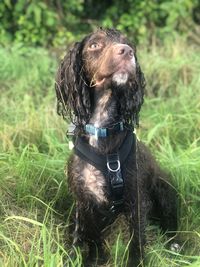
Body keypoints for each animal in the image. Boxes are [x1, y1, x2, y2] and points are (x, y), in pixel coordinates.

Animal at [54, 28, 177, 266]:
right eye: (94, 45)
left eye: (129, 43)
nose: (127, 51)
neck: (102, 127)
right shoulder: (85, 201)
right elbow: (93, 237)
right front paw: (95, 258)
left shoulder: (136, 198)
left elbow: (136, 239)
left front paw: (136, 262)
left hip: (164, 187)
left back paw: (176, 245)